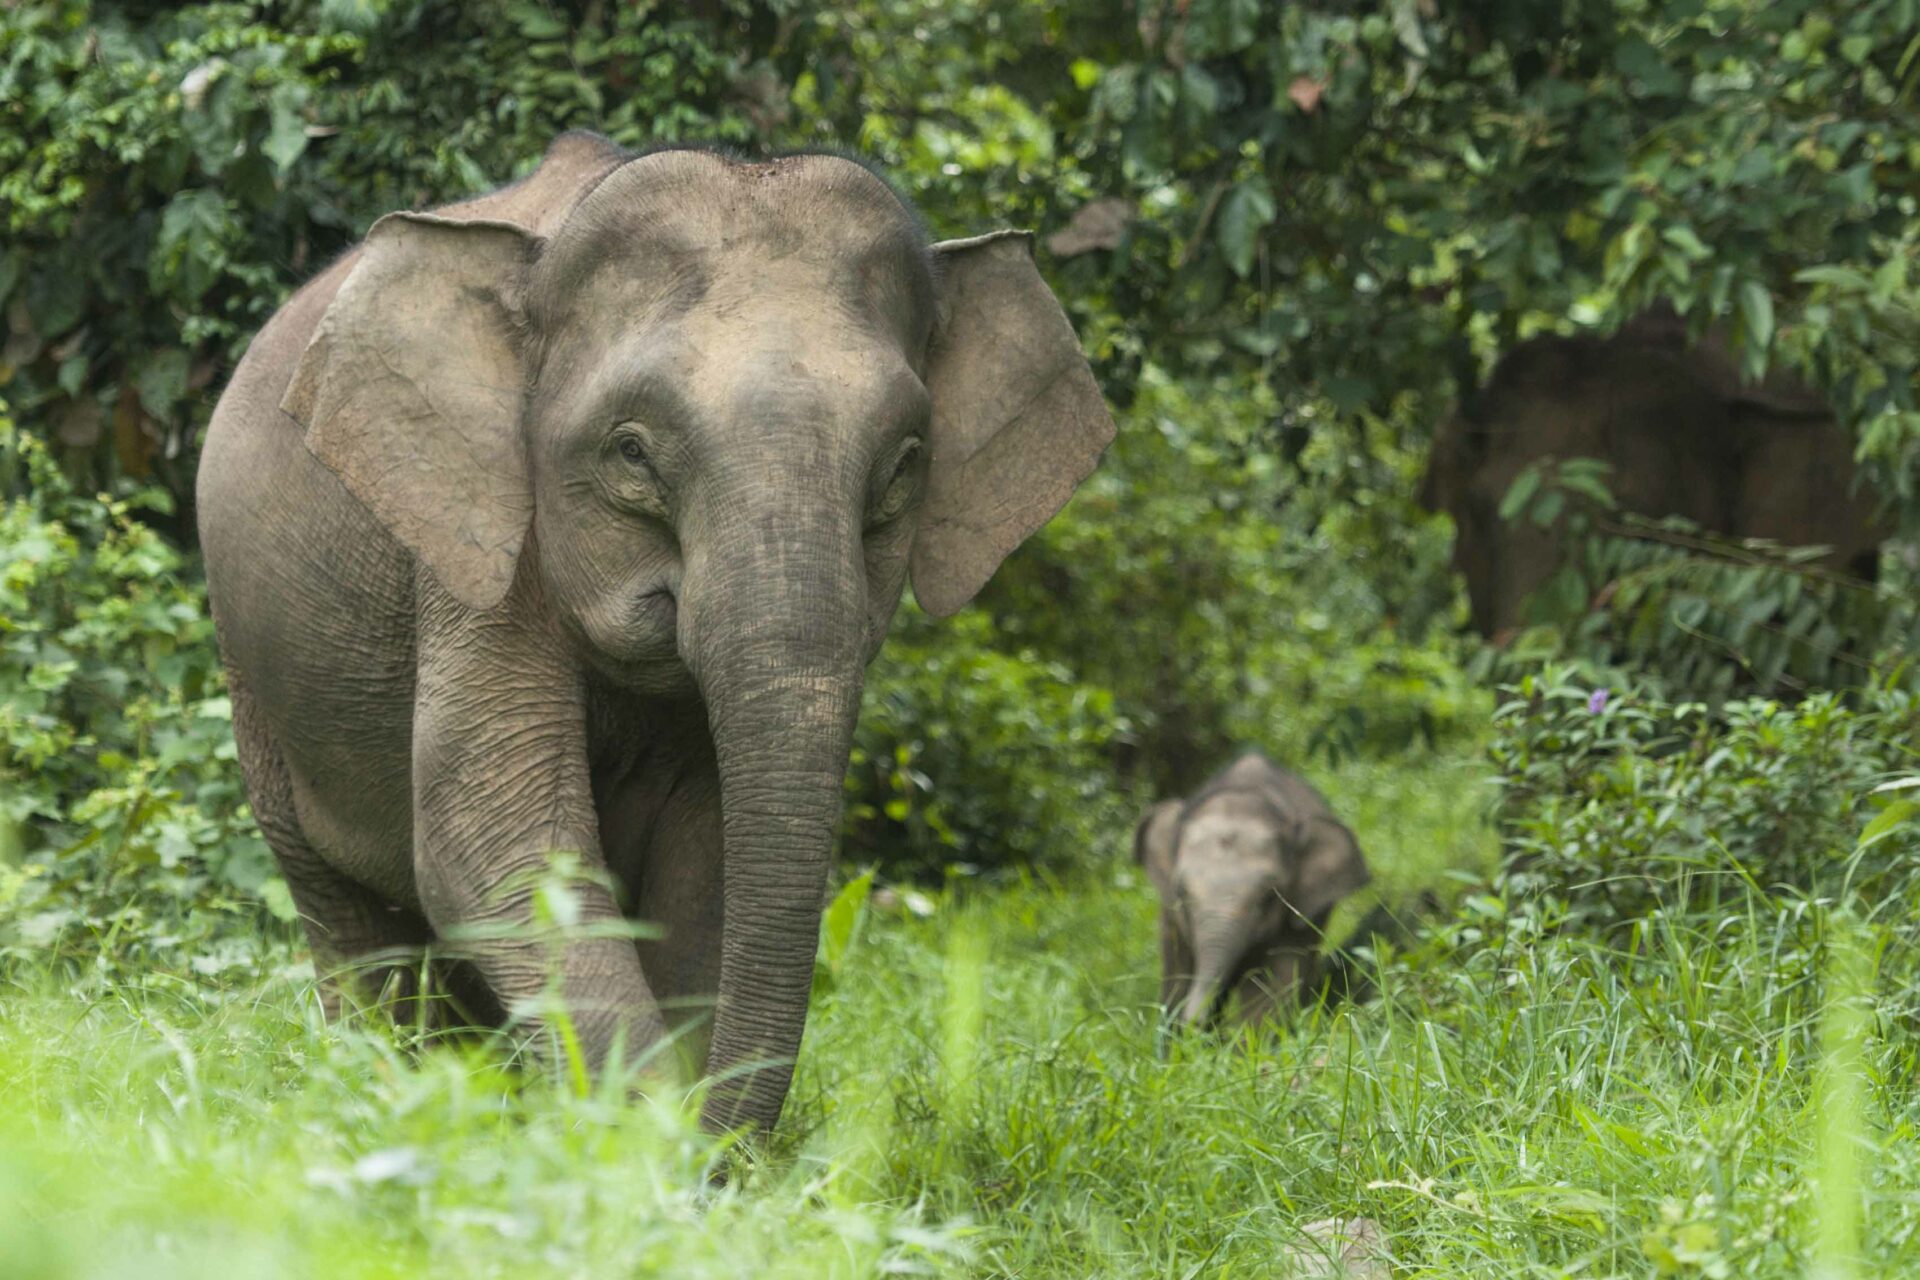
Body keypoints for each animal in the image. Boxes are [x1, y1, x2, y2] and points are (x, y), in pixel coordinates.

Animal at [196, 130, 1121, 1128]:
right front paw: (645, 1132)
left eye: (904, 468)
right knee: (349, 920)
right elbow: (492, 836)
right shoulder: (475, 555)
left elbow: (706, 859)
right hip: (259, 682)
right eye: (631, 454)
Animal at [1128, 756, 1374, 1036]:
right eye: (1181, 892)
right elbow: (1176, 977)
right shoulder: (1171, 918)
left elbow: (1269, 993)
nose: (1194, 1019)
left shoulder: (1295, 920)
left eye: (1268, 896)